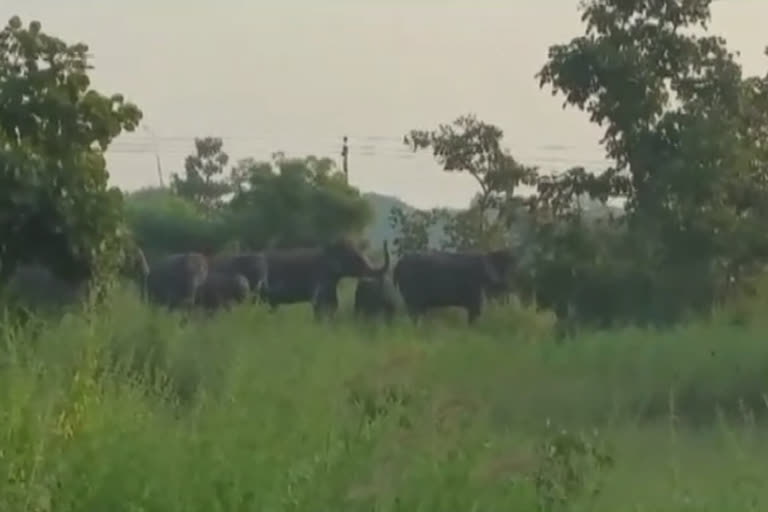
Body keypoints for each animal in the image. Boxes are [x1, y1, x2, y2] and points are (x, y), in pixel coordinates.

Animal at [260, 239, 390, 318]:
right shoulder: (320, 277)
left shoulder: (331, 283)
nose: (385, 241)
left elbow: (333, 304)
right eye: (357, 259)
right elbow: (319, 304)